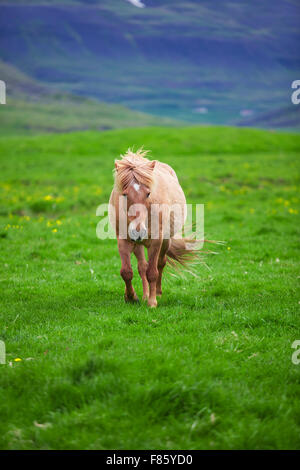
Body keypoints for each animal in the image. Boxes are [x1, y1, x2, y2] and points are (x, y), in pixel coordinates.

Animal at [109, 149, 200, 306]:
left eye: (148, 194)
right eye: (125, 194)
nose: (138, 231)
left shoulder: (156, 242)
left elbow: (152, 272)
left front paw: (152, 302)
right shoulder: (123, 240)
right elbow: (126, 272)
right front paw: (131, 297)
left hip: (165, 241)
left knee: (160, 264)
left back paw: (156, 293)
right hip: (138, 244)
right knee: (142, 267)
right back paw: (145, 295)